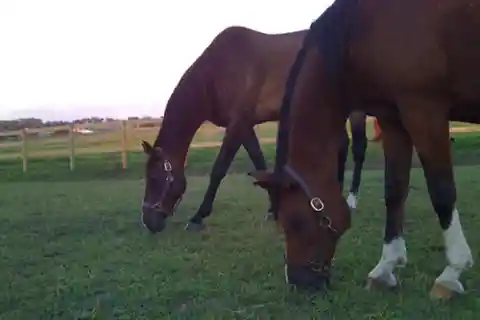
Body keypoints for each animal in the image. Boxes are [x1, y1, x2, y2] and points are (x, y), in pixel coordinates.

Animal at [138, 25, 368, 232]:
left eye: (155, 178)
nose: (148, 222)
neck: (216, 71)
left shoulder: (238, 123)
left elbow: (219, 169)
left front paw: (197, 218)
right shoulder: (245, 125)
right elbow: (259, 160)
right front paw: (273, 209)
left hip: (355, 110)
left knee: (358, 148)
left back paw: (351, 200)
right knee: (342, 145)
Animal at [249, 0, 478, 298]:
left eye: (295, 221)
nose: (299, 282)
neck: (367, 28)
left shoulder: (425, 112)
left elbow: (442, 193)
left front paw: (452, 273)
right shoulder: (394, 120)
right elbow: (394, 191)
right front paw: (385, 268)